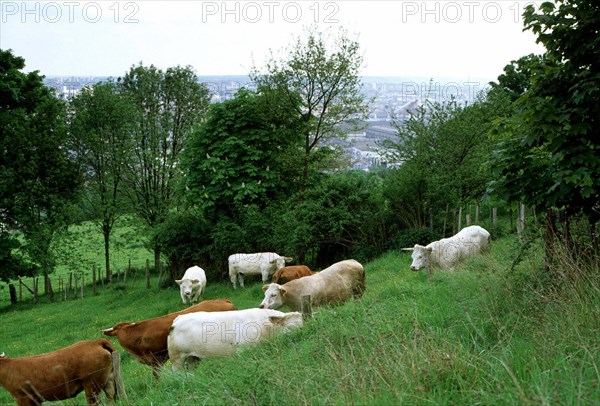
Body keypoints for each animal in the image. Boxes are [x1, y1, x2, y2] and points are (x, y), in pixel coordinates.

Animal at [166, 310, 302, 370]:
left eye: (302, 325)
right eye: (291, 327)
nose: (298, 337)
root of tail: (178, 319)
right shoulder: (243, 351)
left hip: (193, 358)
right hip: (176, 359)